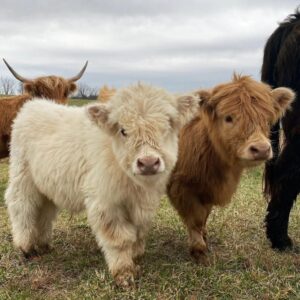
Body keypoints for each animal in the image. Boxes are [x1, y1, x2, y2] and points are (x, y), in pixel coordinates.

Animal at [5, 82, 199, 288]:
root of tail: (34, 105)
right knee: (21, 205)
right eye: (123, 130)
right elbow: (119, 239)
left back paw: (43, 245)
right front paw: (124, 274)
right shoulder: (106, 203)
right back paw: (26, 247)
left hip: (46, 184)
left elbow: (139, 233)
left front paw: (136, 256)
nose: (148, 163)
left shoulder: (144, 204)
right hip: (22, 175)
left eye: (168, 125)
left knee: (44, 210)